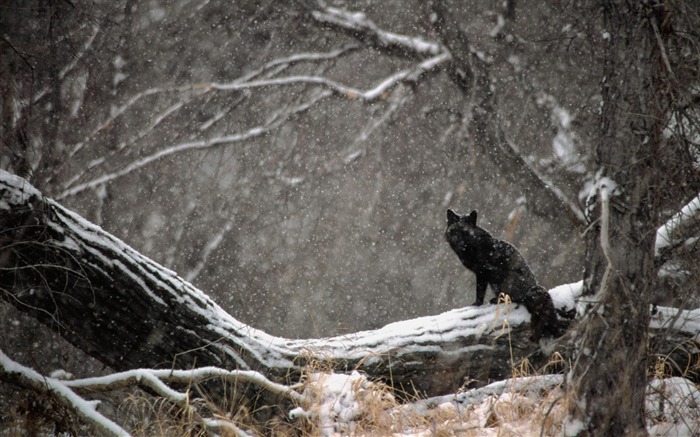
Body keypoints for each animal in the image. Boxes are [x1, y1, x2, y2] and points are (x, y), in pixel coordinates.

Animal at [446, 209, 560, 340]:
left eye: (465, 232)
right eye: (454, 231)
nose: (458, 241)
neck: (472, 248)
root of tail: (531, 289)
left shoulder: (482, 273)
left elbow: (479, 291)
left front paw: (476, 304)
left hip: (502, 281)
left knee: (514, 298)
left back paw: (496, 300)